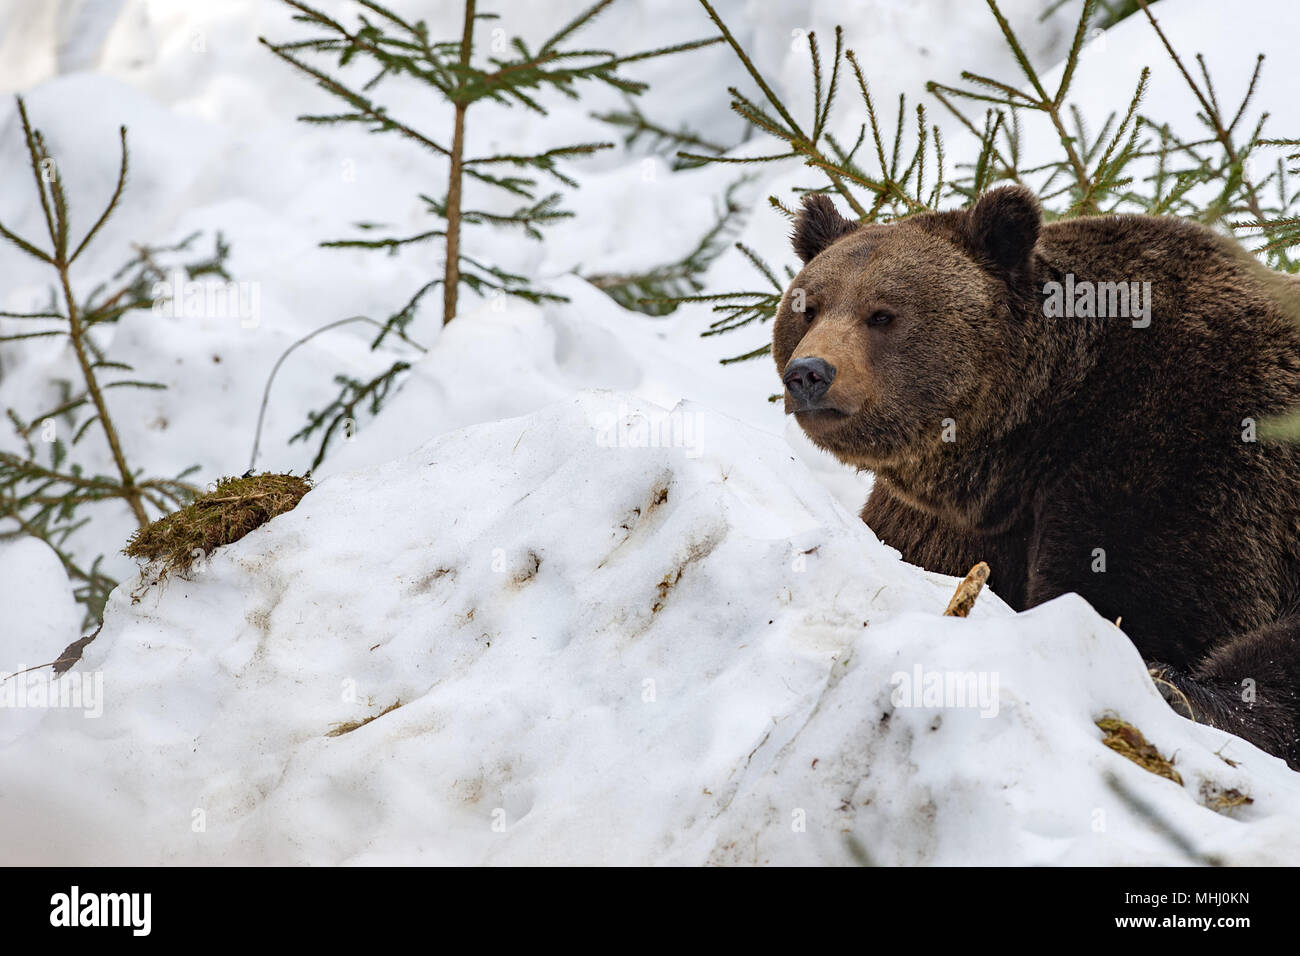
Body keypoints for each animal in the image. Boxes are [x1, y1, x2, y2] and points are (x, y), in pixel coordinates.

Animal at [769, 187, 1300, 770]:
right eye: (808, 307)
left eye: (882, 314)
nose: (810, 373)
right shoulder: (959, 520)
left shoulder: (1181, 446)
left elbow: (1142, 599)